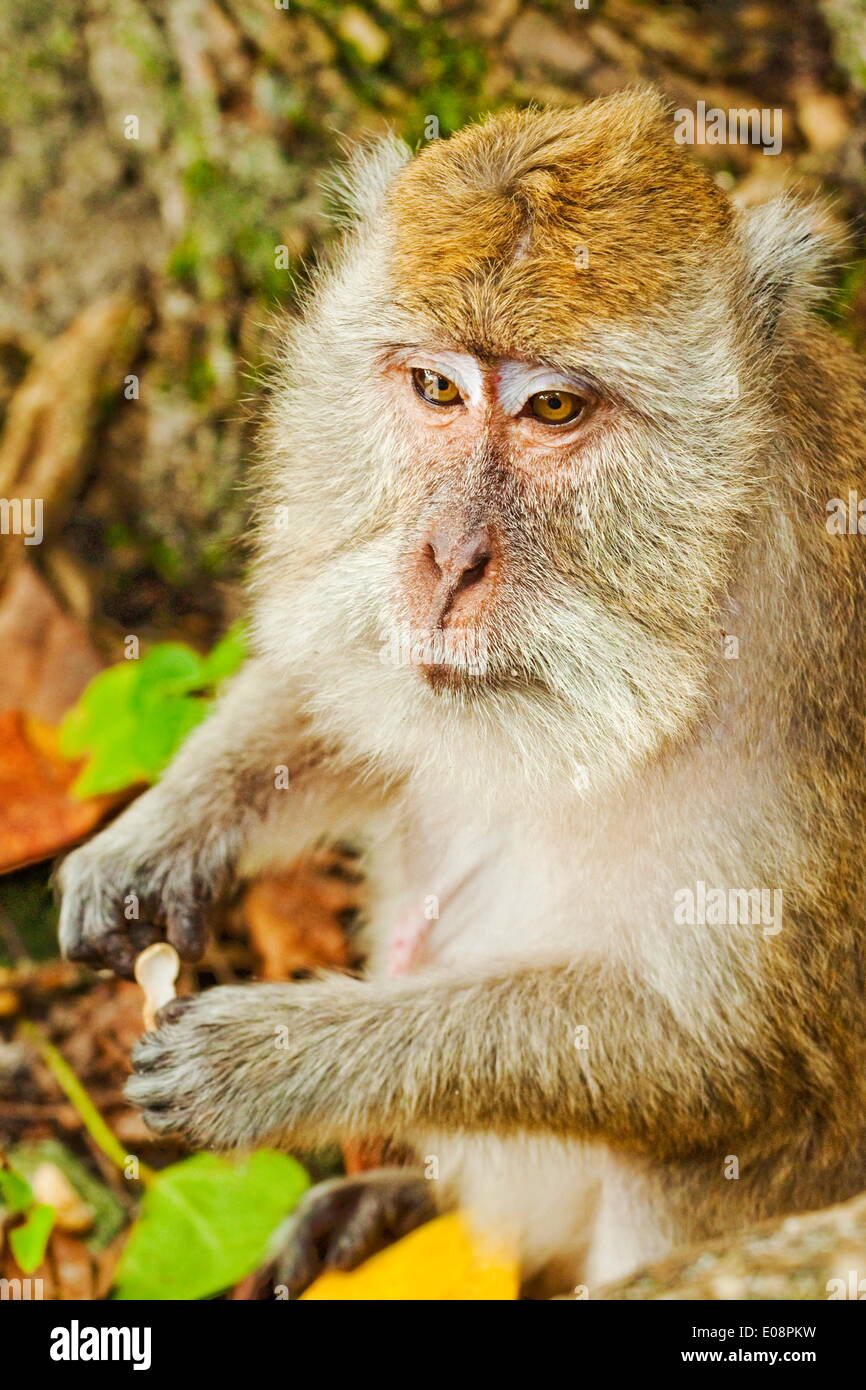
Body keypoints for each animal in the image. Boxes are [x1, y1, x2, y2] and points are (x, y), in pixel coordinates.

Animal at [57, 87, 866, 1298]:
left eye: (554, 408)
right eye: (435, 387)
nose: (444, 560)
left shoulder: (811, 700)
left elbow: (722, 1056)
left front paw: (277, 1057)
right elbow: (348, 689)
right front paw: (155, 842)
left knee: (681, 1167)